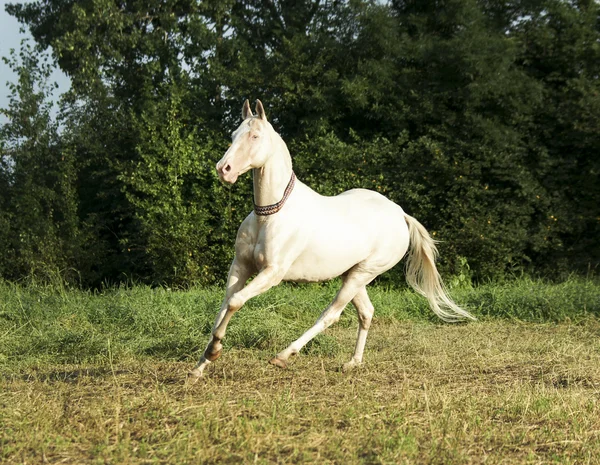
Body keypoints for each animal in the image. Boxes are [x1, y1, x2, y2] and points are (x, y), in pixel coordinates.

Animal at [190, 99, 476, 378]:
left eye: (255, 136)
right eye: (233, 135)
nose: (224, 169)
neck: (269, 215)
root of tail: (400, 214)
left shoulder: (272, 273)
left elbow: (235, 301)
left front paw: (214, 351)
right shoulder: (241, 266)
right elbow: (224, 305)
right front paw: (200, 366)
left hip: (363, 274)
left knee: (331, 314)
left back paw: (283, 356)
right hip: (353, 274)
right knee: (366, 312)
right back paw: (353, 363)